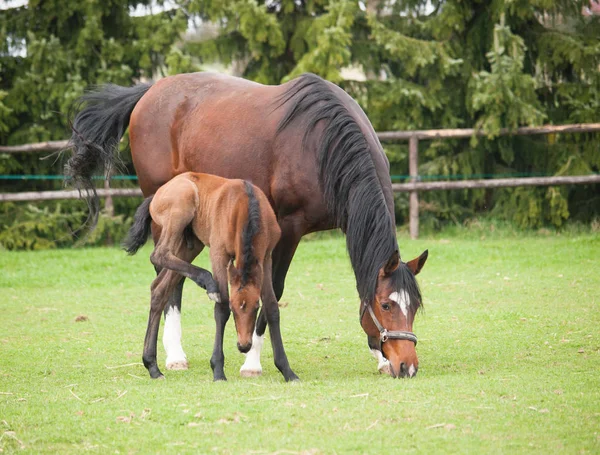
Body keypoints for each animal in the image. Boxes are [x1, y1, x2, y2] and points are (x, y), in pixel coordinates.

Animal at [123, 172, 298, 382]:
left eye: (255, 307)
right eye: (233, 307)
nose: (244, 346)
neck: (245, 205)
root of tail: (158, 193)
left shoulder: (265, 258)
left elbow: (272, 308)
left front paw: (288, 371)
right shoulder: (218, 254)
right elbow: (221, 309)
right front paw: (218, 370)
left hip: (189, 245)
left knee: (159, 288)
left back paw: (152, 366)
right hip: (181, 210)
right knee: (159, 254)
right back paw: (207, 282)